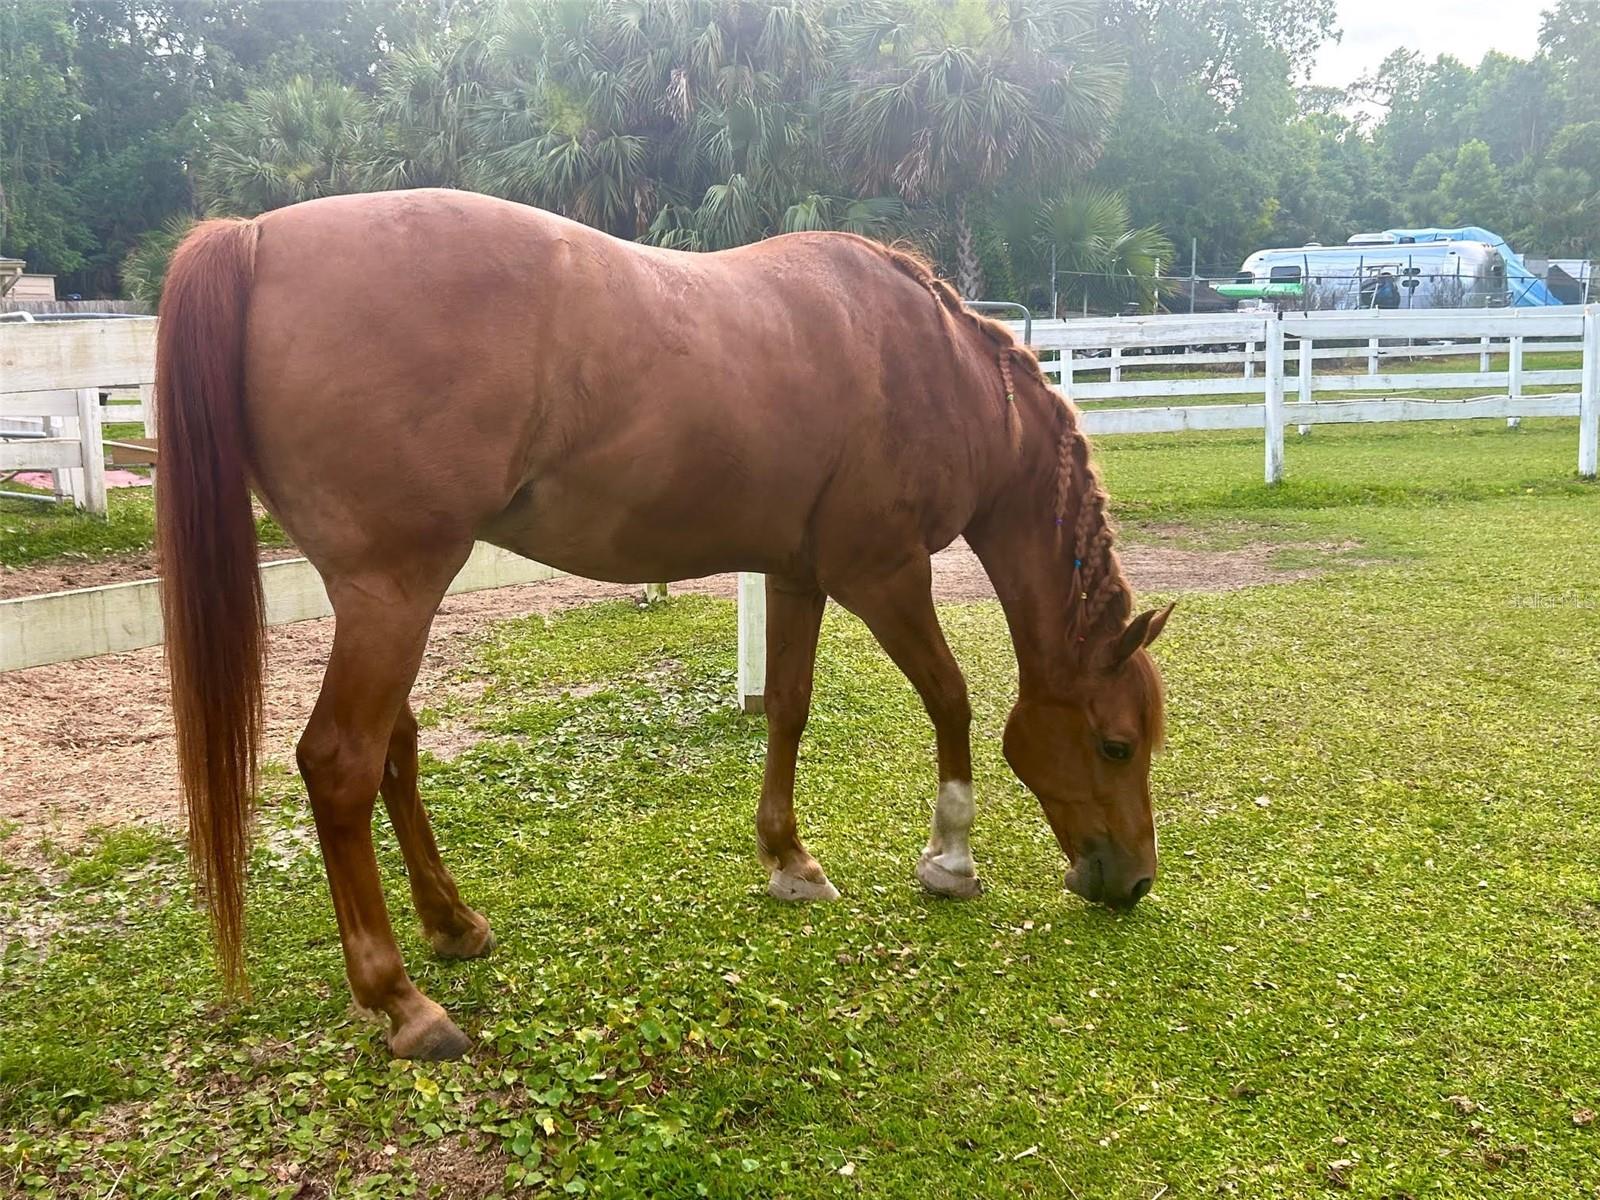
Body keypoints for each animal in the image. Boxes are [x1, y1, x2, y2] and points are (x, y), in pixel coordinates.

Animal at [156, 188, 1171, 1062]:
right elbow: (952, 699)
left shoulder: (796, 575)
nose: (1132, 882)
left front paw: (789, 861)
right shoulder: (884, 574)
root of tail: (256, 236)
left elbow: (789, 708)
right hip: (396, 591)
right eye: (1116, 745)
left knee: (394, 748)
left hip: (383, 599)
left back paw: (452, 924)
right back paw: (401, 1001)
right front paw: (949, 859)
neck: (940, 371)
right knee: (341, 764)